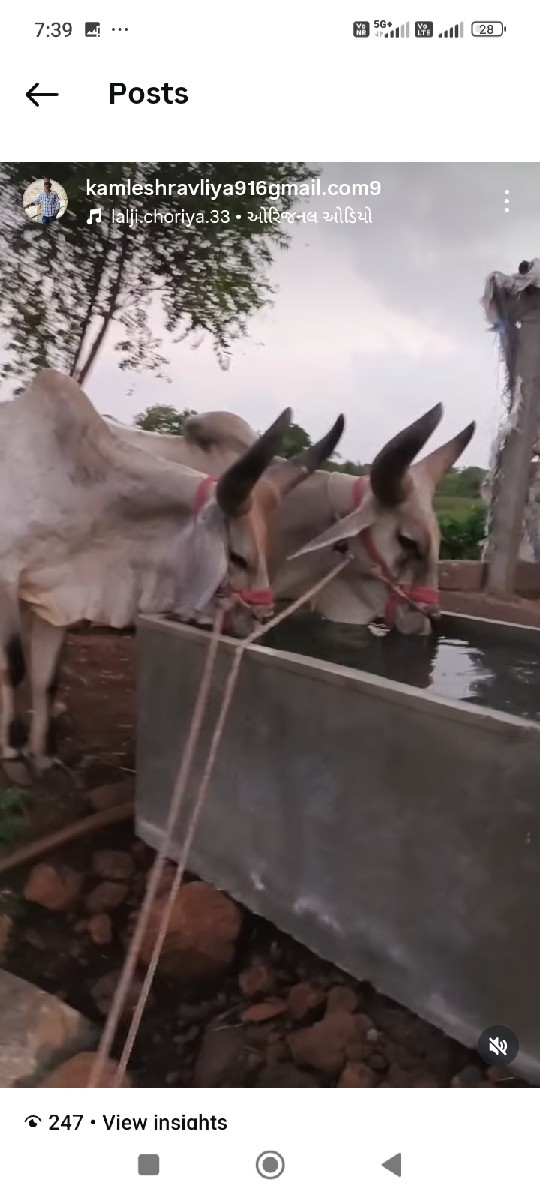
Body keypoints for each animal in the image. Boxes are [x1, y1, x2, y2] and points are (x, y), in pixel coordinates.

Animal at [0, 369, 344, 772]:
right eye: (238, 557)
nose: (261, 619)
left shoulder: (55, 594)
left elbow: (46, 676)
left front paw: (42, 755)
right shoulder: (6, 579)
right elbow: (13, 666)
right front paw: (11, 750)